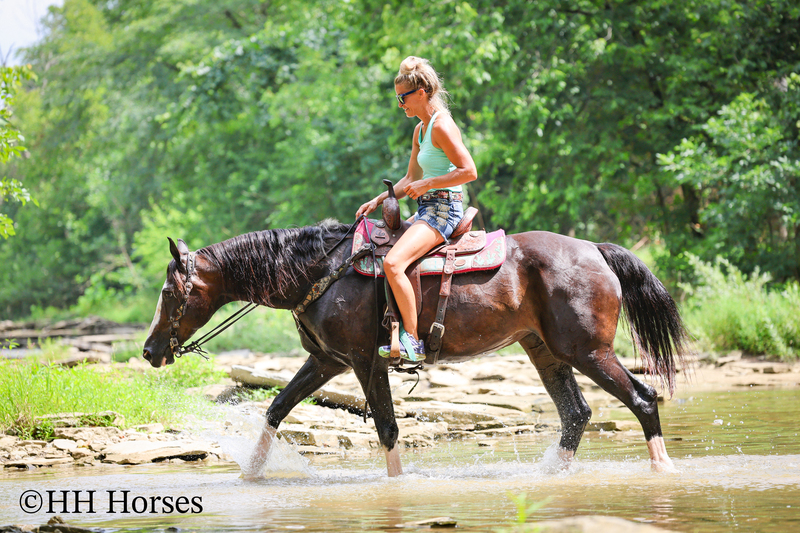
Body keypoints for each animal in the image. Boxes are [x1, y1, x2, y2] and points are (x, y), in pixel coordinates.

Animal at [142, 218, 689, 477]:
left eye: (169, 292)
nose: (149, 352)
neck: (322, 271)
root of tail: (595, 250)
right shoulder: (326, 362)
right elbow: (276, 408)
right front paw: (252, 475)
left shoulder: (365, 363)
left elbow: (386, 427)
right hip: (545, 351)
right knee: (575, 414)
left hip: (587, 351)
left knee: (642, 399)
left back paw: (664, 471)